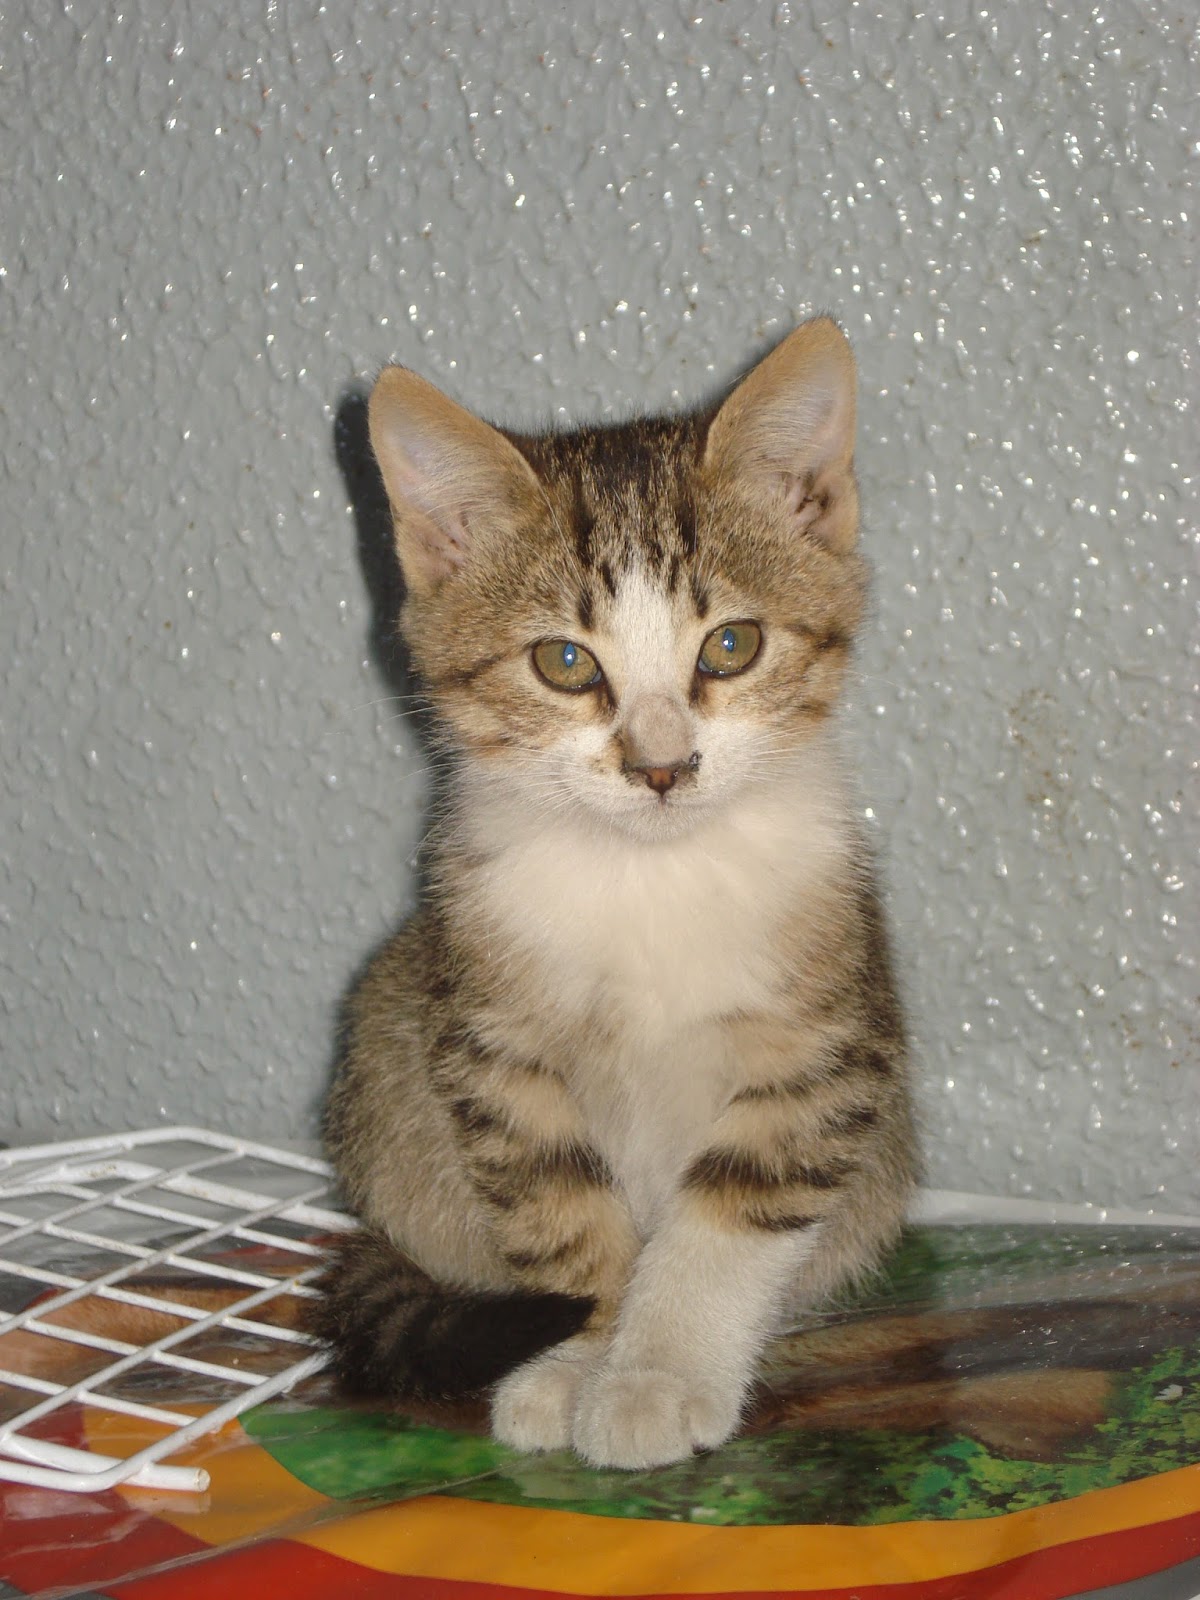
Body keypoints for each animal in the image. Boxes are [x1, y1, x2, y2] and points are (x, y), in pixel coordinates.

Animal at [315, 317, 918, 1470]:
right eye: (563, 661)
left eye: (732, 644)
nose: (662, 767)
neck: (651, 876)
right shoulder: (495, 1044)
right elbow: (558, 1206)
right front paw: (580, 1357)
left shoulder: (823, 1045)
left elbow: (733, 1213)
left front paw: (658, 1371)